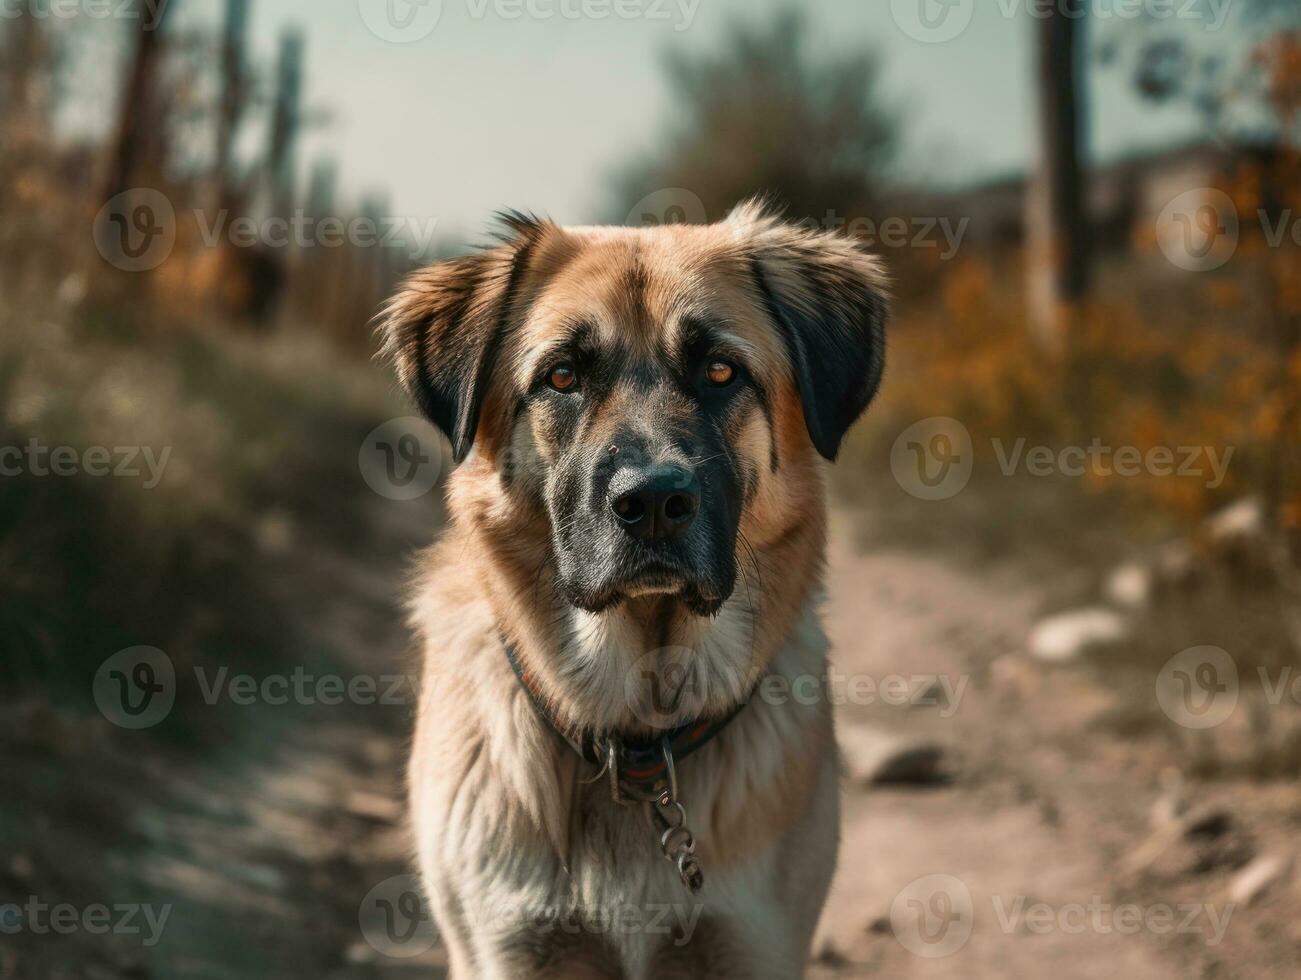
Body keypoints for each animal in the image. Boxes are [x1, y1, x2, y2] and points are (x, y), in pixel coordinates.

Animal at [377, 200, 884, 978]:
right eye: (561, 377)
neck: (636, 734)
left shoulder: (752, 946)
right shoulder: (506, 948)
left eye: (719, 370)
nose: (650, 502)